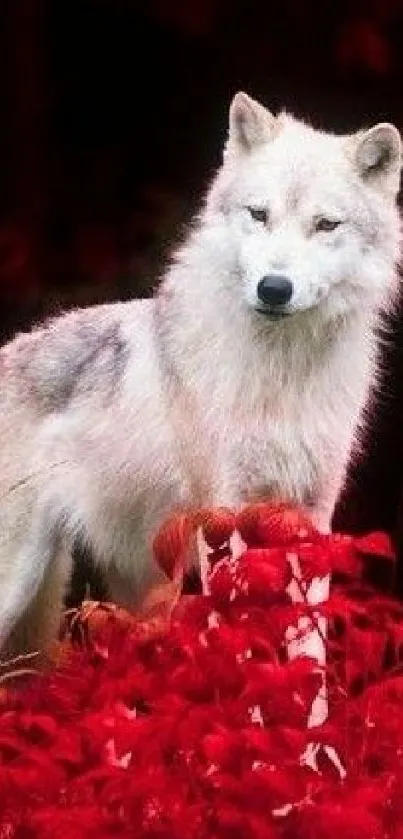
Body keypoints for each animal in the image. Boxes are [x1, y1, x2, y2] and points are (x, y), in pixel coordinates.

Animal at [0, 92, 400, 656]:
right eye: (259, 214)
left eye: (326, 225)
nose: (274, 288)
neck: (279, 375)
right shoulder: (224, 513)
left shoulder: (312, 516)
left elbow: (310, 646)